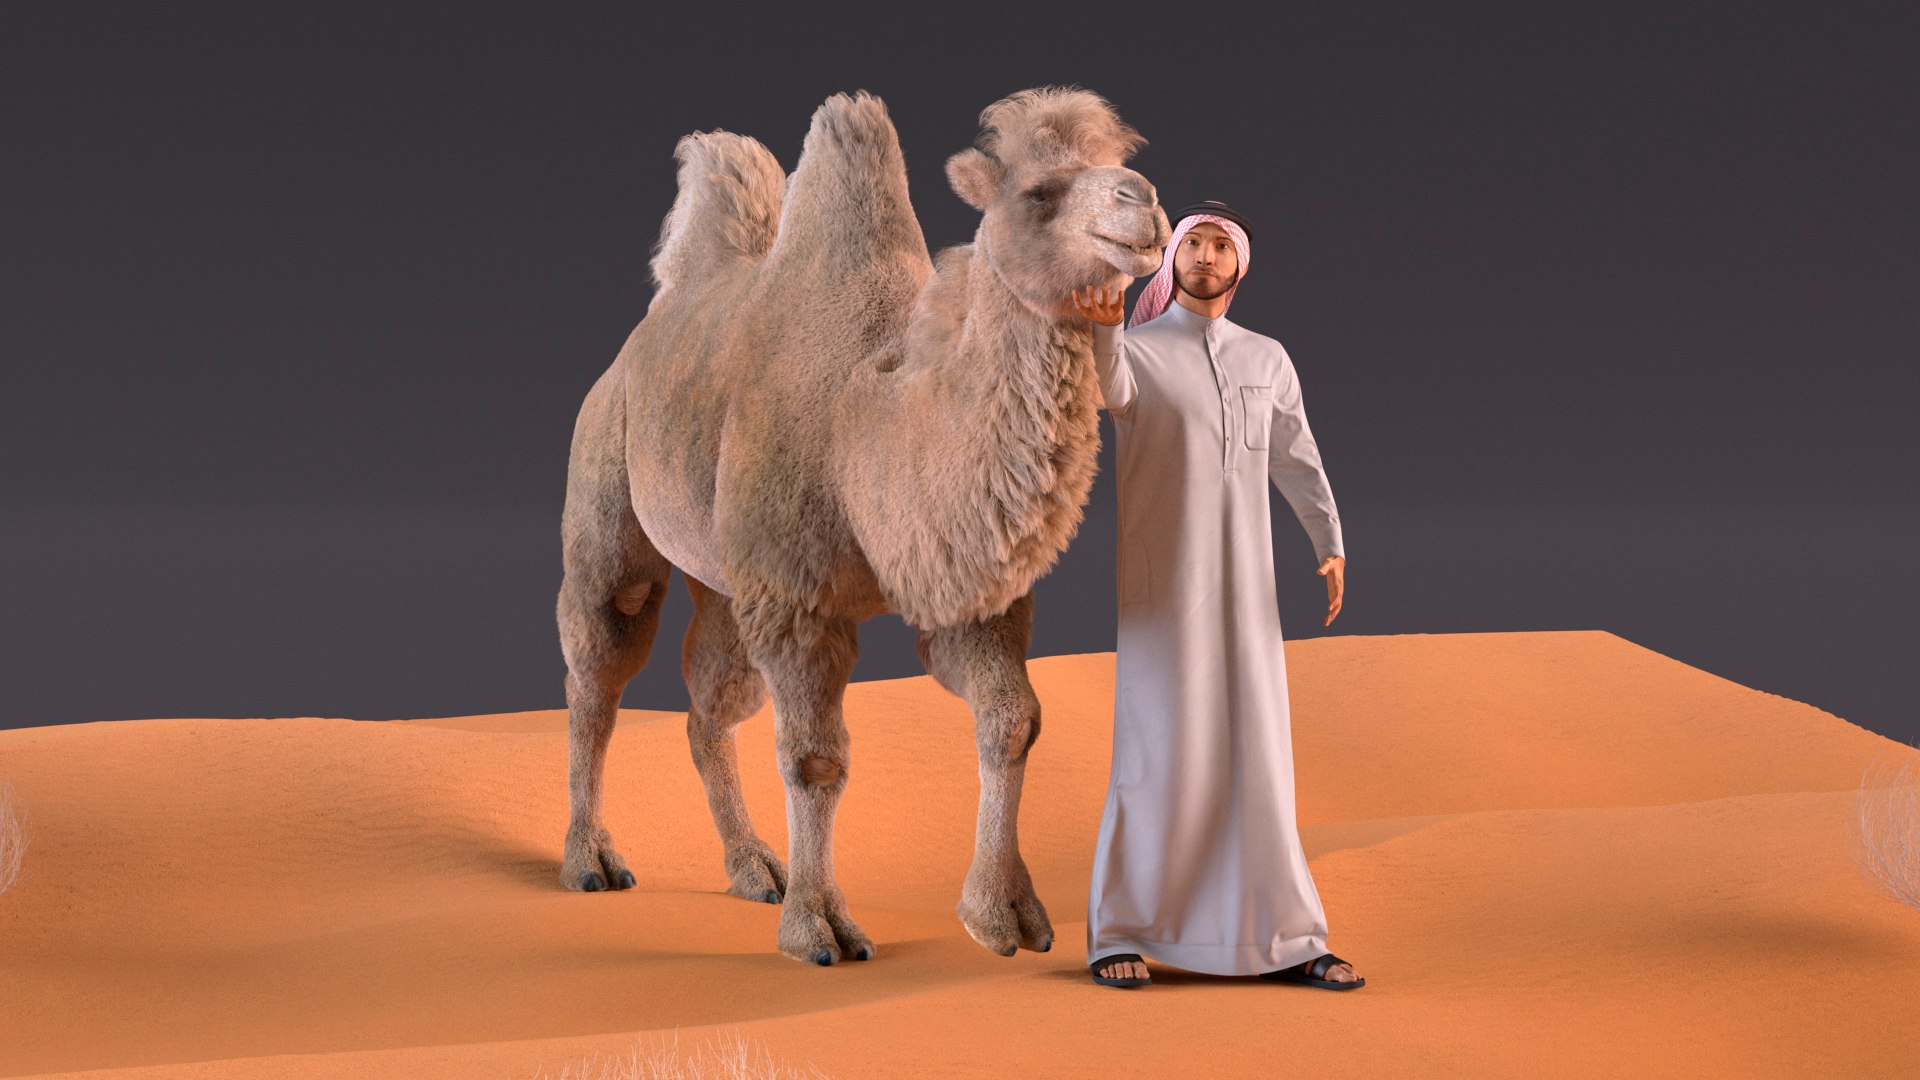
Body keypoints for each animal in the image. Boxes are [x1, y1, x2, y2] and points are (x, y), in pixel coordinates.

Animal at [555, 86, 1169, 965]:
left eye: (1119, 163)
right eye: (1038, 194)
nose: (1143, 200)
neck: (869, 427)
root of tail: (654, 321)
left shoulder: (966, 593)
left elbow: (1012, 722)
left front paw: (1003, 913)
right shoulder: (798, 601)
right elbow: (816, 759)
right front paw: (819, 927)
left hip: (725, 576)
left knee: (712, 703)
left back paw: (753, 867)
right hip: (608, 477)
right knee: (601, 666)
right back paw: (591, 859)